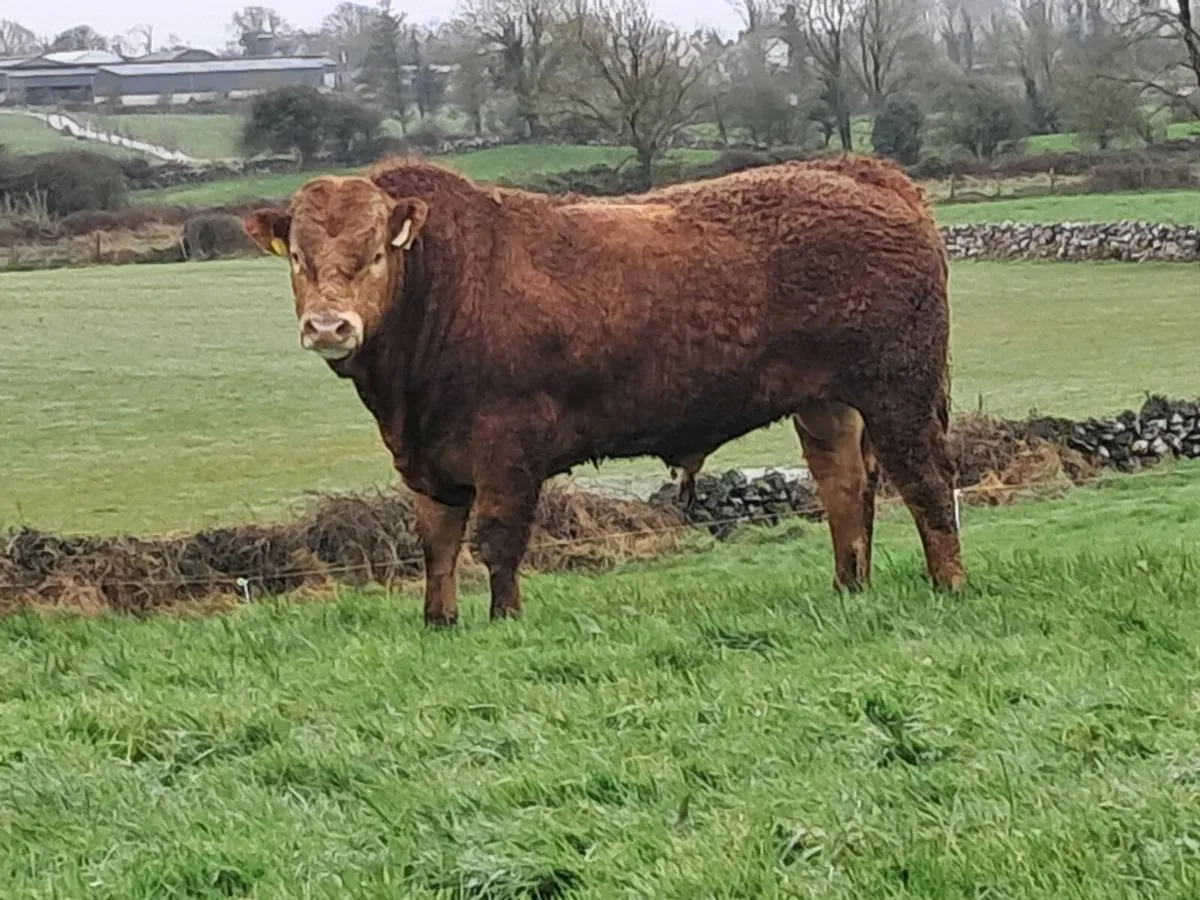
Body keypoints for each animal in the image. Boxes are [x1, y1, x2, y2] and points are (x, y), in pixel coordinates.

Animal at [243, 154, 964, 627]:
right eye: (298, 258)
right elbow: (438, 544)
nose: (328, 325)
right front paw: (438, 622)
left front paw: (504, 619)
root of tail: (860, 170)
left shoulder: (508, 444)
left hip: (899, 392)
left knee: (928, 484)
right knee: (845, 489)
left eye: (374, 255)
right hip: (828, 404)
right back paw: (848, 588)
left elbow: (496, 540)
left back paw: (948, 584)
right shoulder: (428, 458)